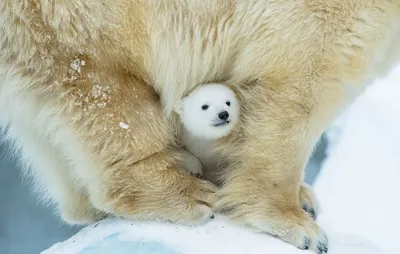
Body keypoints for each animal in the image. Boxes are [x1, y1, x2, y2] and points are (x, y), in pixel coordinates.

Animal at [0, 0, 398, 252]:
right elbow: (301, 81)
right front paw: (300, 228)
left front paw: (304, 199)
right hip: (73, 21)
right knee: (102, 90)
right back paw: (186, 192)